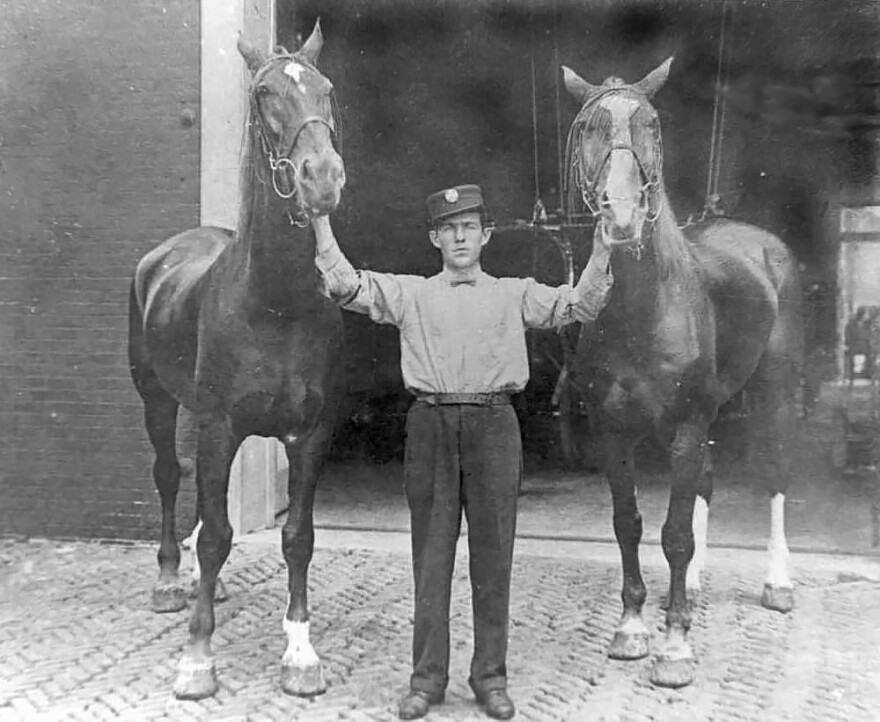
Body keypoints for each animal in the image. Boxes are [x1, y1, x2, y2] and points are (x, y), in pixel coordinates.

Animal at [128, 21, 348, 696]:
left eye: (327, 90)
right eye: (264, 92)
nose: (322, 176)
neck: (274, 303)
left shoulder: (310, 434)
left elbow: (297, 537)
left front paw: (300, 653)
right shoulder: (219, 427)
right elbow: (217, 535)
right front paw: (197, 657)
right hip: (158, 401)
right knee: (170, 479)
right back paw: (170, 582)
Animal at [564, 57, 804, 688]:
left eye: (651, 123)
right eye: (588, 128)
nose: (621, 215)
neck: (643, 309)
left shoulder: (687, 425)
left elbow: (673, 534)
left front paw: (673, 649)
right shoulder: (612, 432)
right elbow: (630, 523)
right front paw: (633, 628)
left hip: (772, 393)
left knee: (775, 474)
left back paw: (777, 584)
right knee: (705, 486)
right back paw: (692, 591)